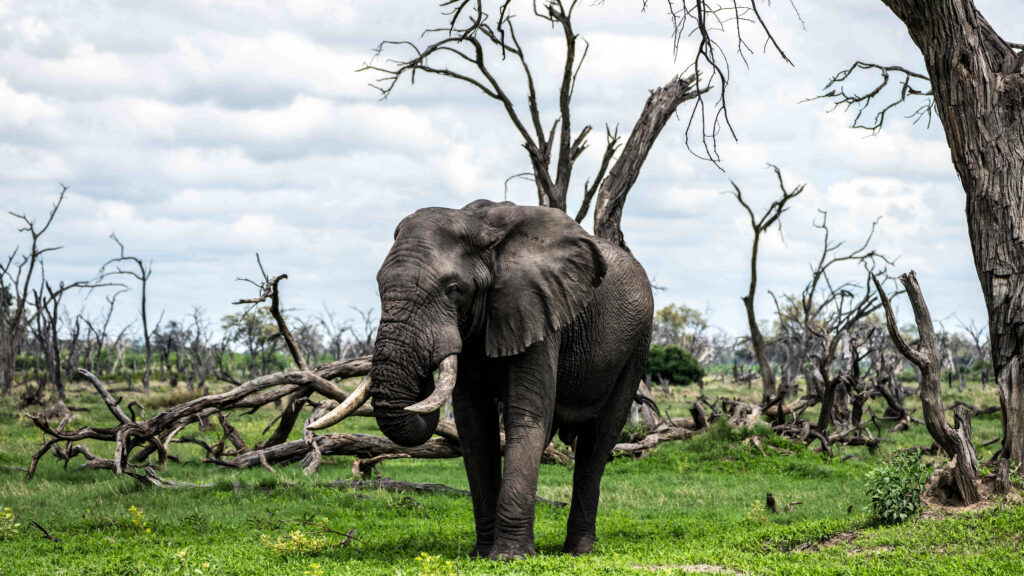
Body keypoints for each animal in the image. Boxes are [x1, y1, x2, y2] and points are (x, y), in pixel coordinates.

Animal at [307, 199, 651, 557]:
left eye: (453, 290)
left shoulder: (536, 311)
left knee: (598, 442)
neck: (483, 228)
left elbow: (525, 416)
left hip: (637, 345)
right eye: (379, 285)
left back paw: (578, 550)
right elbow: (474, 427)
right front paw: (482, 554)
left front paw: (510, 557)